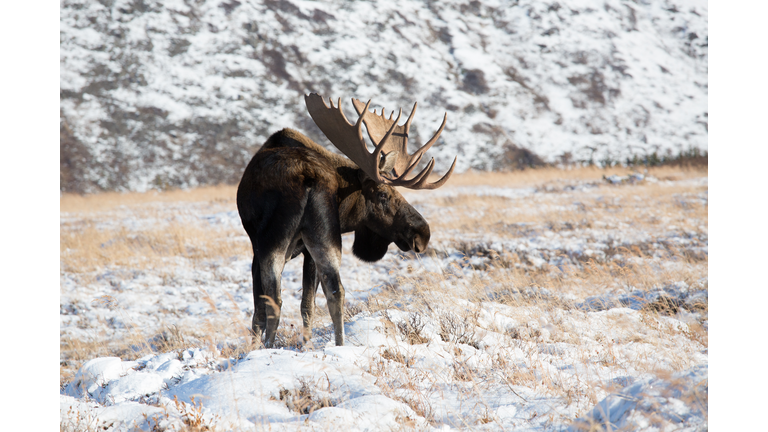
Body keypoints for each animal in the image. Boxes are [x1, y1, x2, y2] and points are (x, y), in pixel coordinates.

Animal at [236, 93, 457, 347]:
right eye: (383, 194)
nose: (423, 233)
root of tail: (308, 177)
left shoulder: (257, 248)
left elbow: (260, 312)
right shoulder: (308, 251)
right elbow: (308, 305)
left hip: (273, 242)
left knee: (275, 300)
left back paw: (270, 347)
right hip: (323, 238)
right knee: (336, 291)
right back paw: (340, 345)